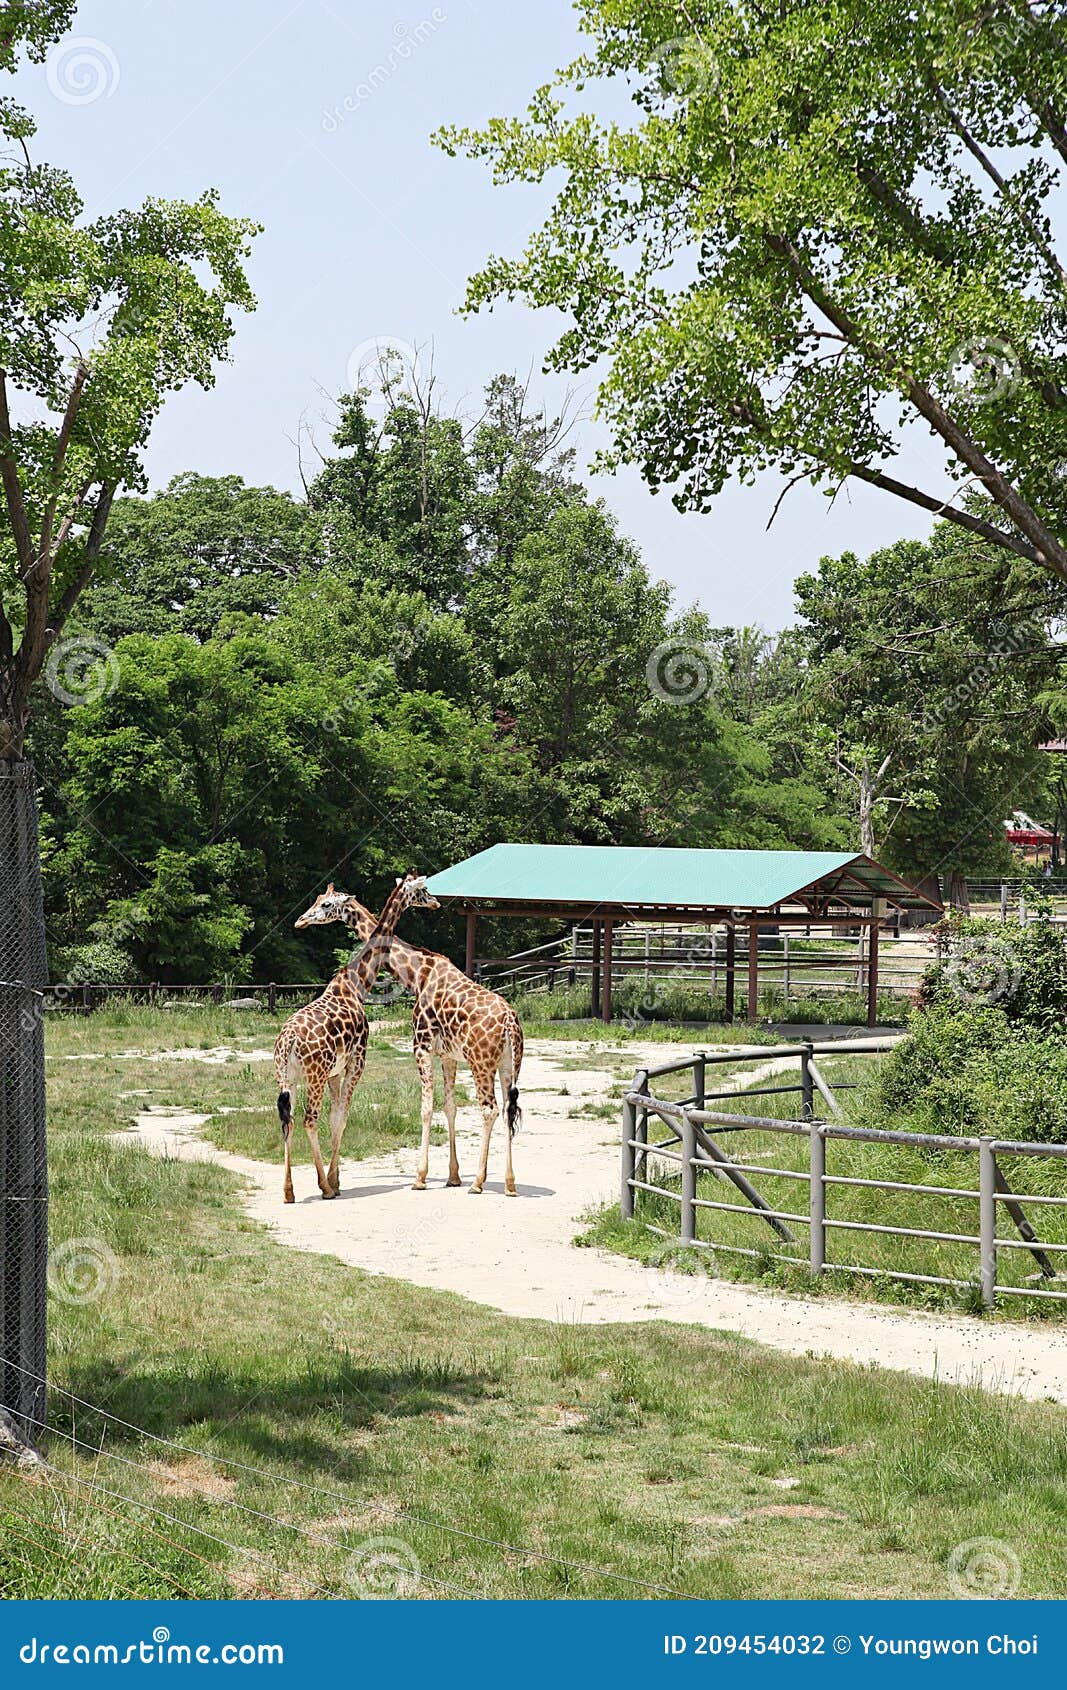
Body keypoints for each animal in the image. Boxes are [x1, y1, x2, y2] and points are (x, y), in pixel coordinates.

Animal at [274, 872, 438, 1204]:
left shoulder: (336, 1072)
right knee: (309, 1119)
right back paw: (322, 1188)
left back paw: (288, 1191)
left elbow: (335, 1117)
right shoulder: (357, 1062)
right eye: (423, 890)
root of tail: (288, 1043)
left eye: (323, 902)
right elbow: (343, 1117)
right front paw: (333, 1182)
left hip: (287, 1077)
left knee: (290, 1119)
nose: (300, 921)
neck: (356, 983)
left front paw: (335, 1180)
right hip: (313, 1075)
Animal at [295, 884, 524, 1195]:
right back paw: (510, 1183)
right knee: (508, 1111)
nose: (301, 921)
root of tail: (510, 1022)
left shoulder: (421, 1045)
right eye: (318, 900)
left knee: (489, 1110)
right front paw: (453, 1176)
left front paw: (420, 1177)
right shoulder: (448, 1055)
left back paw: (478, 1183)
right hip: (508, 1064)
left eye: (326, 904)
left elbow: (426, 1108)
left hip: (481, 1063)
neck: (417, 973)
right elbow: (449, 1107)